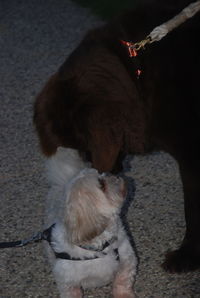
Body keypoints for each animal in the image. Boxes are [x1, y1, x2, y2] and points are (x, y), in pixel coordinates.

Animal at [34, 0, 200, 272]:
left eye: (85, 144)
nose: (97, 169)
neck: (137, 70)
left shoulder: (191, 159)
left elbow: (192, 209)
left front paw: (186, 257)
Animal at [43, 147, 138, 298]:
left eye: (102, 174)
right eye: (102, 184)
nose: (112, 174)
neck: (101, 247)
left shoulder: (126, 261)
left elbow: (122, 282)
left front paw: (124, 295)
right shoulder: (68, 282)